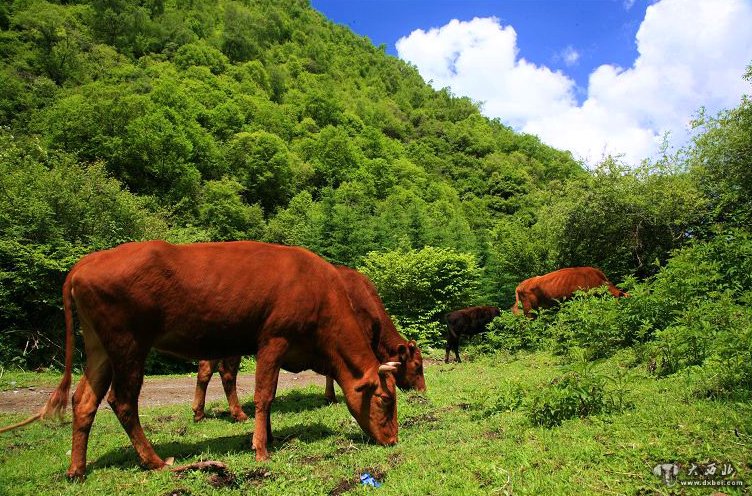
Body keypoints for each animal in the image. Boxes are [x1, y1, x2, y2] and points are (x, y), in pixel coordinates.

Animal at [0, 241, 400, 480]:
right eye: (384, 399)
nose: (393, 440)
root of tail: (86, 262)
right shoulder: (274, 339)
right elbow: (264, 395)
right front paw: (261, 450)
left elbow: (265, 398)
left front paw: (267, 437)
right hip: (128, 346)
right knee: (123, 401)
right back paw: (155, 461)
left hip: (99, 349)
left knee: (84, 401)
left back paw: (77, 470)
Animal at [191, 266, 426, 420]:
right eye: (417, 366)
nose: (423, 391)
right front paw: (333, 397)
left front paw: (330, 397)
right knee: (227, 373)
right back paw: (238, 413)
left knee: (205, 369)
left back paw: (199, 413)